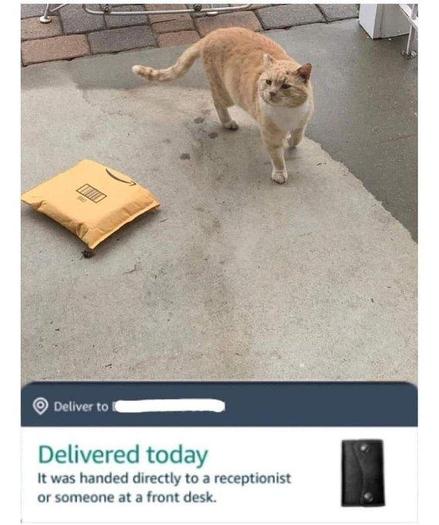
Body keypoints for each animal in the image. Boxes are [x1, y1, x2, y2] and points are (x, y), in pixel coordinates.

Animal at [132, 28, 314, 185]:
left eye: (285, 86)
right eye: (268, 82)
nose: (271, 93)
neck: (288, 111)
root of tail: (214, 33)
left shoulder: (302, 121)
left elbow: (298, 137)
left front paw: (291, 141)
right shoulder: (270, 135)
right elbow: (277, 156)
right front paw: (279, 172)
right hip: (227, 94)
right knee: (217, 101)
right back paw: (227, 122)